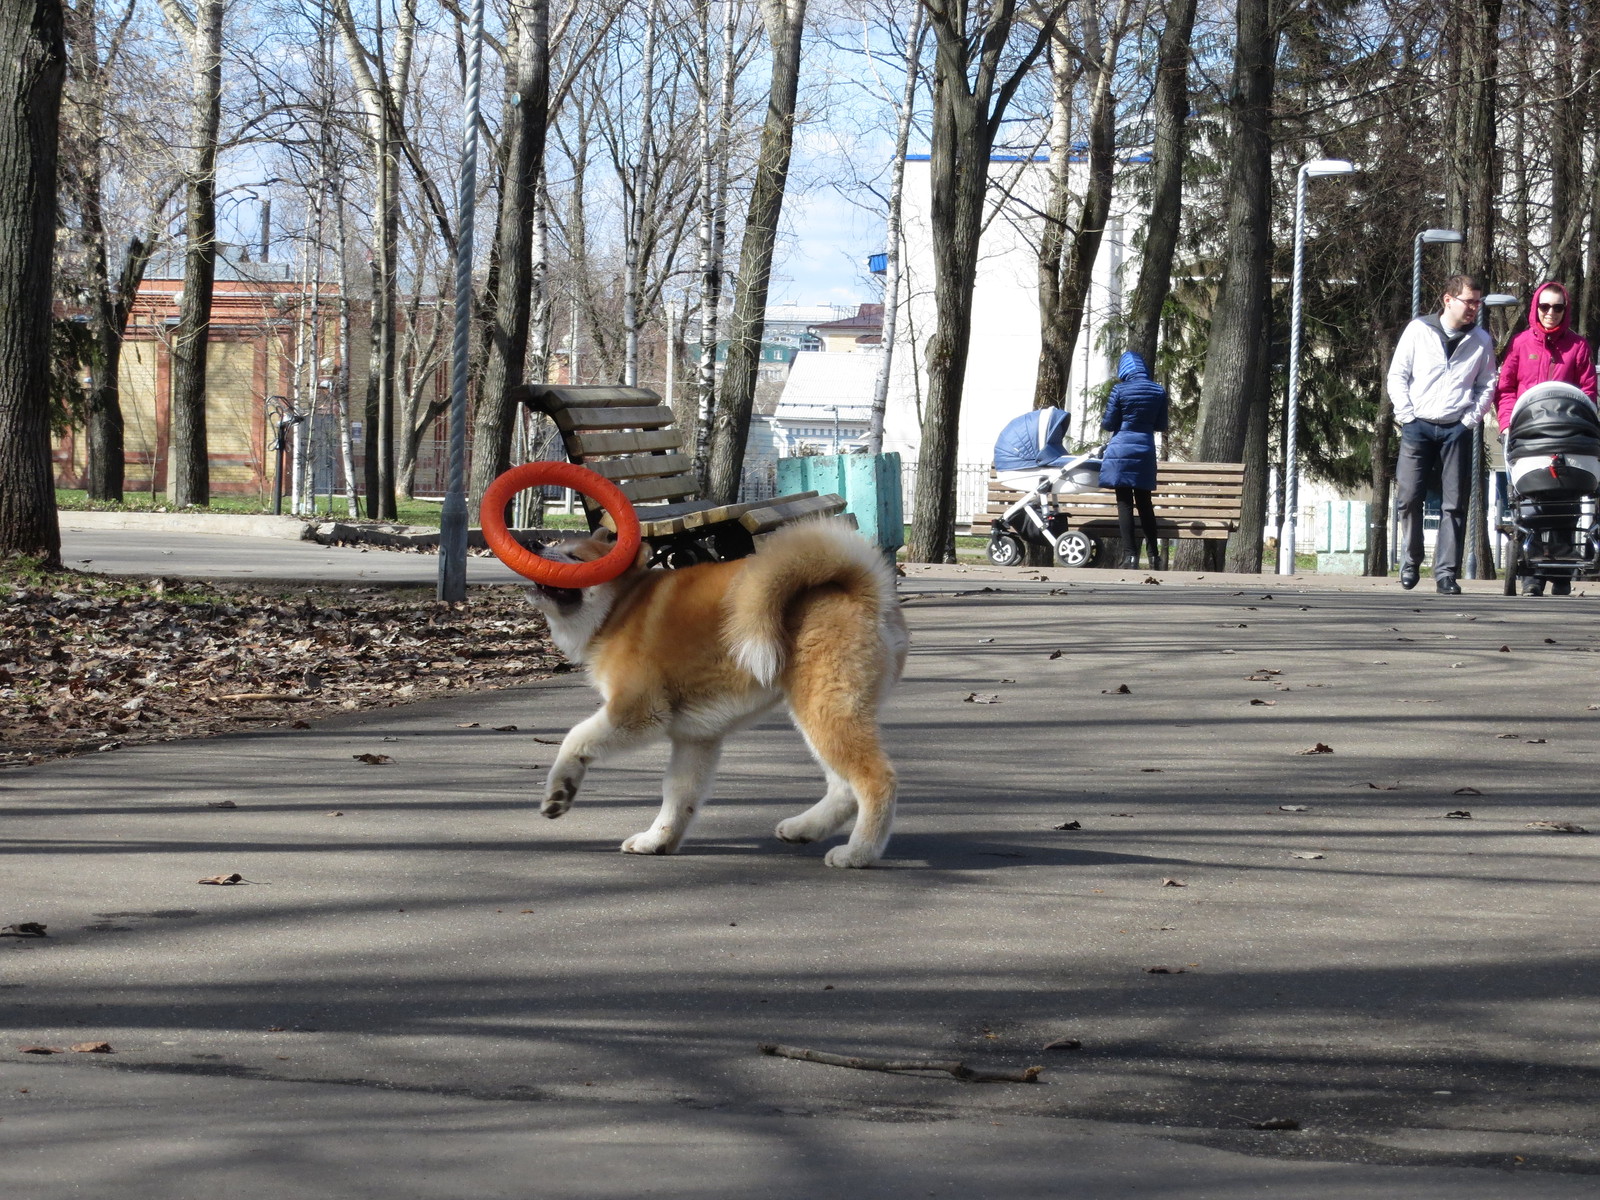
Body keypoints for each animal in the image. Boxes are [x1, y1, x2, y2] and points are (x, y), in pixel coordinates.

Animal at [521, 521, 908, 870]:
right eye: (558, 545)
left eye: (575, 557)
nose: (535, 545)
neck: (619, 608)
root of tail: (862, 590)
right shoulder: (695, 739)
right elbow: (679, 796)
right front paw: (657, 840)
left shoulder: (638, 711)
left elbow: (575, 738)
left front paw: (559, 791)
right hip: (818, 715)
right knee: (844, 788)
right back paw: (805, 828)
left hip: (824, 709)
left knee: (876, 781)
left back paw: (859, 853)